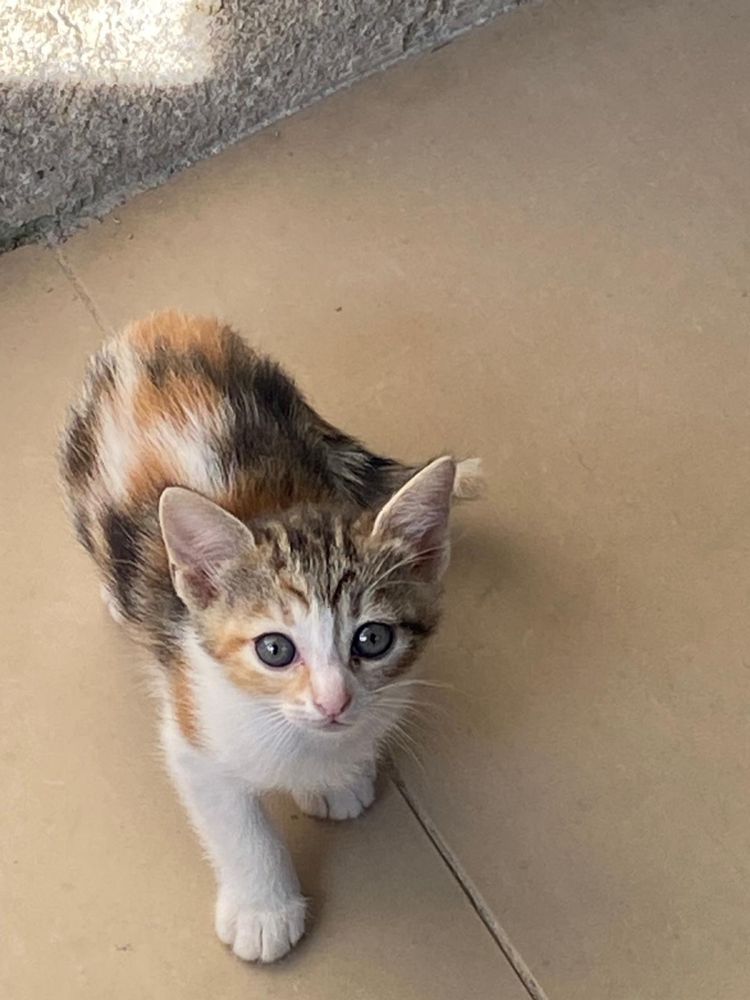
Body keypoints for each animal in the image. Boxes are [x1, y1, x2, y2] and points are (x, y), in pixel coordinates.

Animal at [60, 310, 482, 960]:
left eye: (372, 640)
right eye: (275, 649)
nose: (333, 702)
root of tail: (163, 323)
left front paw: (337, 781)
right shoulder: (194, 726)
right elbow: (237, 823)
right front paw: (263, 910)